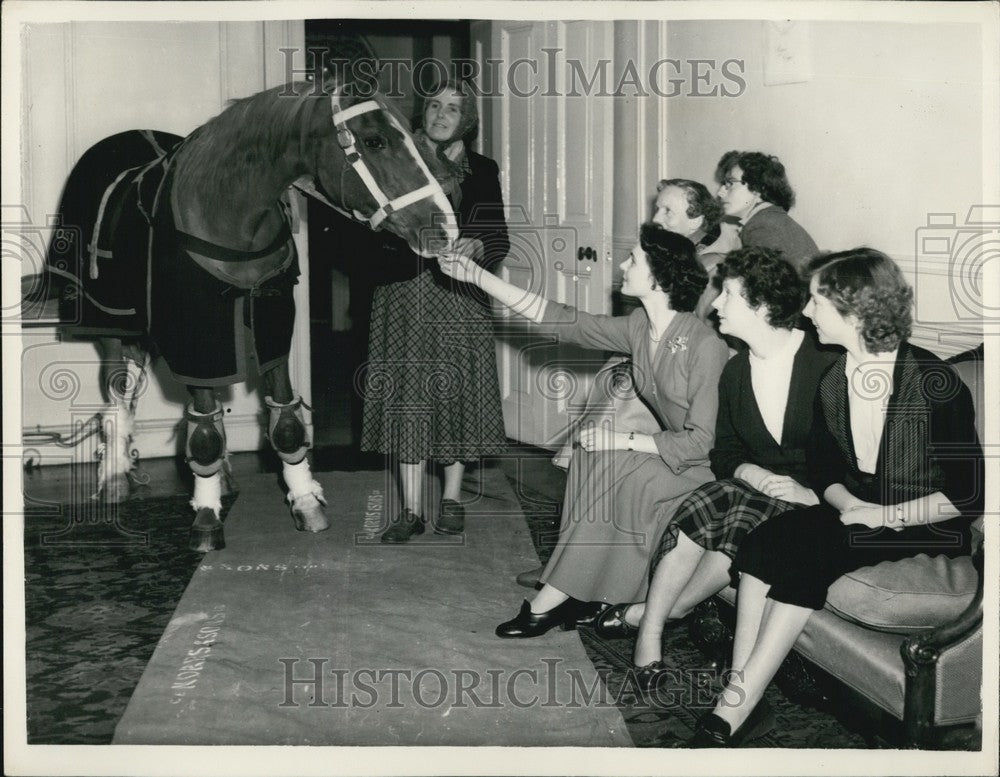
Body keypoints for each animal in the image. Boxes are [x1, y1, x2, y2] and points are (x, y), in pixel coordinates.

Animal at [43, 82, 458, 548]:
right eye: (374, 141)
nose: (443, 228)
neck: (228, 213)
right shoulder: (198, 338)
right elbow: (204, 432)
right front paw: (207, 518)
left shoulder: (273, 323)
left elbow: (283, 421)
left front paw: (305, 501)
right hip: (111, 323)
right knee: (118, 397)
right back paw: (115, 475)